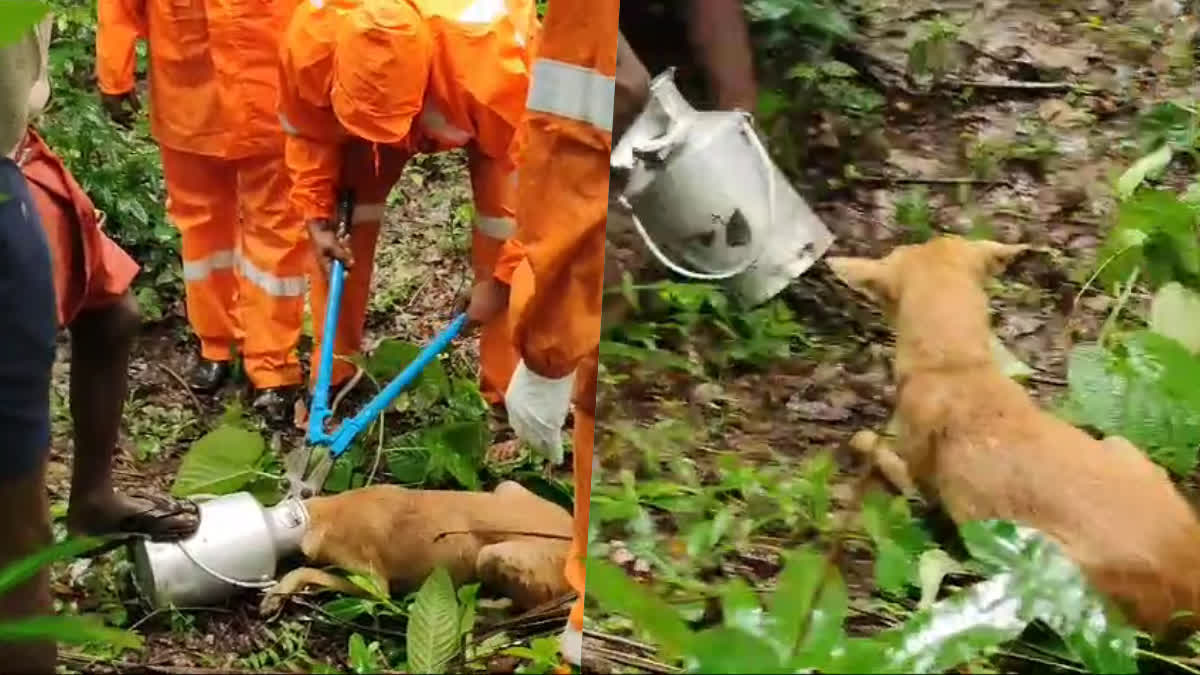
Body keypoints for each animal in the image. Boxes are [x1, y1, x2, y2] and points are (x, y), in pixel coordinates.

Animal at [256, 478, 571, 614]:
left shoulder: (375, 582)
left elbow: (307, 572)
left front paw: (277, 594)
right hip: (507, 486)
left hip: (493, 556)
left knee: (533, 603)